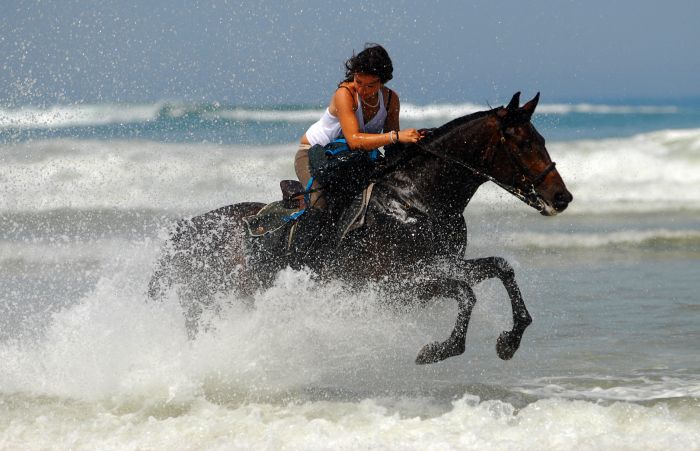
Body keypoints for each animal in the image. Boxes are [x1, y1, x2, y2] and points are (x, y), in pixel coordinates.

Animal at [148, 93, 568, 366]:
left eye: (542, 140)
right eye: (524, 144)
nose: (562, 198)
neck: (415, 200)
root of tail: (186, 232)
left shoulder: (439, 264)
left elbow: (499, 267)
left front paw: (509, 341)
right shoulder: (395, 285)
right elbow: (466, 293)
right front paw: (435, 351)